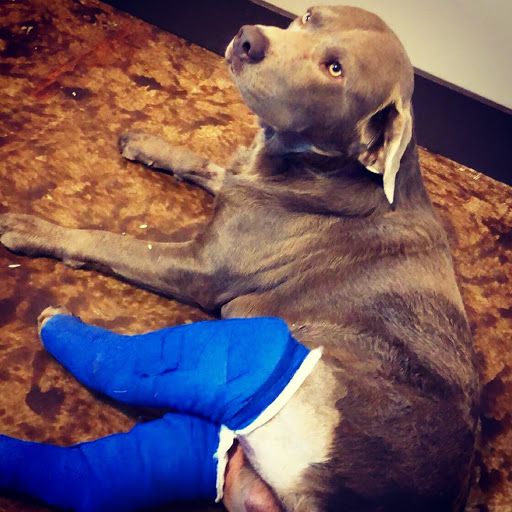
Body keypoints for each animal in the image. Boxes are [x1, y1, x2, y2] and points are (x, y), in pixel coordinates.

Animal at [0, 5, 479, 512]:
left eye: (335, 69)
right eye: (308, 16)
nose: (249, 39)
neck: (320, 169)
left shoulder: (198, 268)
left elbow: (111, 242)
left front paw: (32, 229)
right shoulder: (240, 183)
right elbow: (204, 164)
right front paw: (149, 143)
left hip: (282, 374)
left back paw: (59, 328)